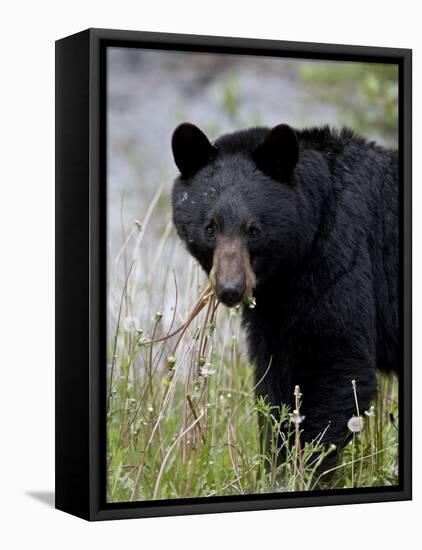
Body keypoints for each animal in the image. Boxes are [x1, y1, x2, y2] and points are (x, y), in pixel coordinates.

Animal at [170, 123, 398, 460]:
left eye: (253, 230)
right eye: (210, 227)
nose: (230, 289)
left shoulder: (340, 261)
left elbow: (336, 366)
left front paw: (305, 463)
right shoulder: (276, 306)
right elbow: (275, 380)